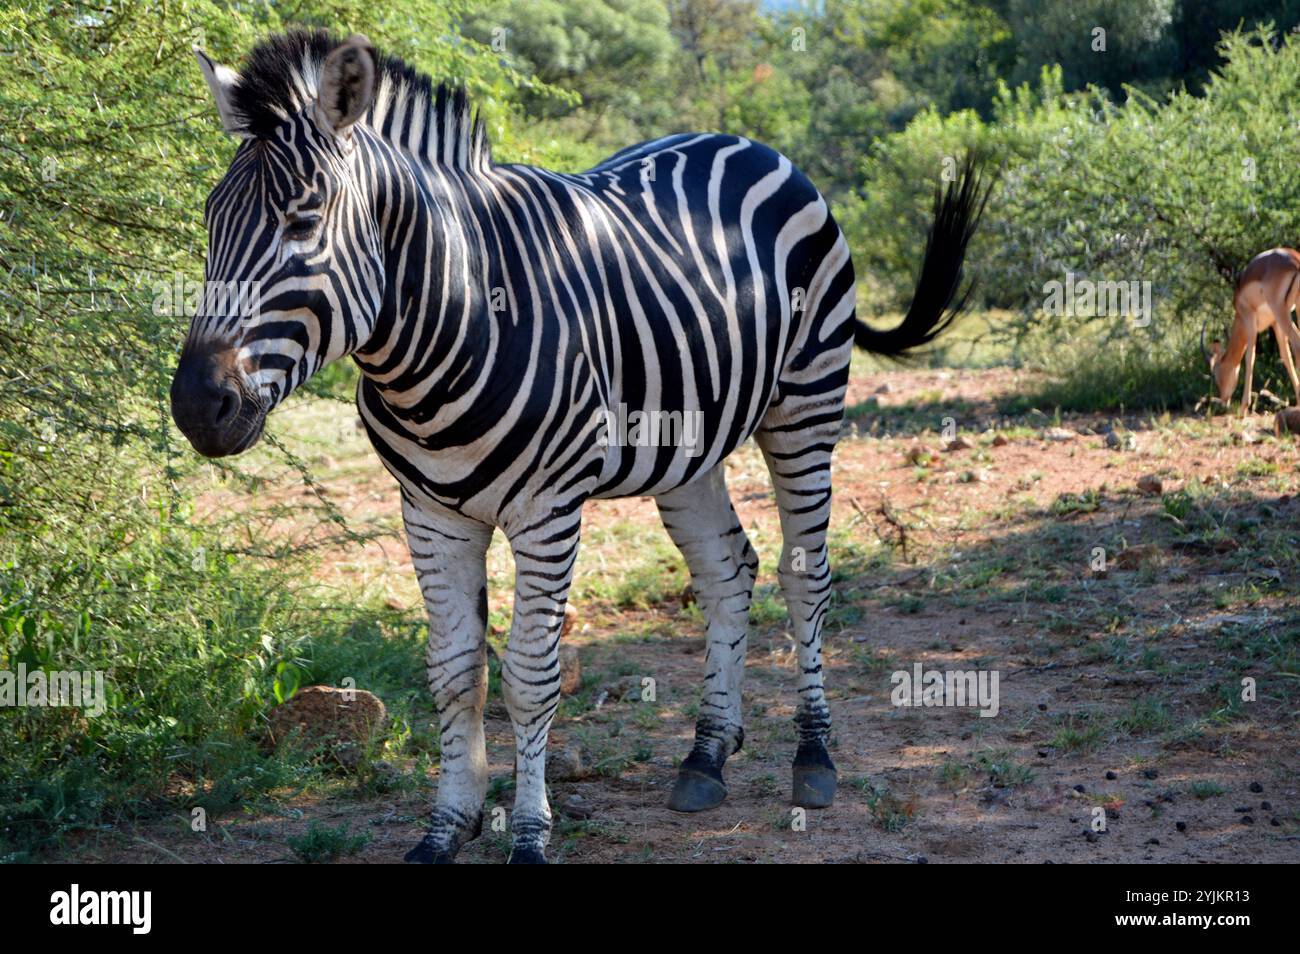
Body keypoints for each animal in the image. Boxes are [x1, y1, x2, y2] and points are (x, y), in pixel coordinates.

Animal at [170, 29, 982, 868]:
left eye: (304, 221)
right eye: (210, 219)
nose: (197, 405)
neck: (450, 322)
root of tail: (751, 144)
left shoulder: (548, 511)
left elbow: (530, 676)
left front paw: (529, 835)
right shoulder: (429, 512)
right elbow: (454, 672)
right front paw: (446, 827)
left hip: (807, 403)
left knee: (804, 574)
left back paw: (813, 757)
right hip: (688, 445)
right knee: (729, 572)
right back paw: (706, 756)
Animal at [1206, 246, 1300, 415]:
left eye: (1216, 375)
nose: (1223, 400)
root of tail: (1295, 261)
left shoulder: (1249, 318)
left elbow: (1250, 357)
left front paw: (1243, 407)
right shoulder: (1275, 323)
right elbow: (1285, 356)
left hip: (1281, 311)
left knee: (1297, 345)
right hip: (1295, 308)